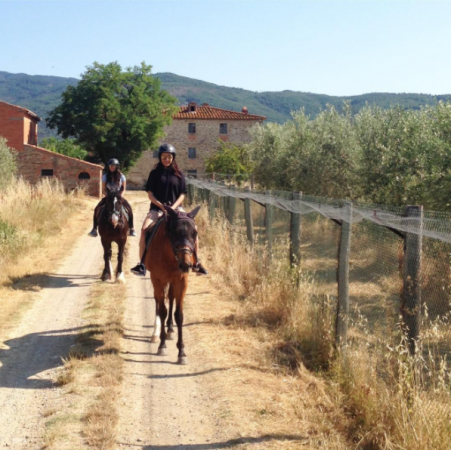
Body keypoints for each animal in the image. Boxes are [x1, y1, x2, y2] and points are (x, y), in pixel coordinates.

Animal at [146, 206, 200, 364]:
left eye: (194, 233)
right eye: (175, 233)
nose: (186, 265)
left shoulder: (182, 281)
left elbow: (179, 315)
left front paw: (181, 352)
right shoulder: (157, 279)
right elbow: (162, 311)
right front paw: (162, 345)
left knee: (170, 298)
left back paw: (170, 329)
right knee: (159, 302)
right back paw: (156, 333)